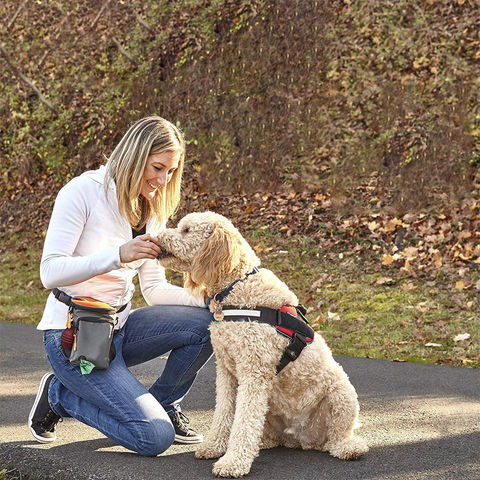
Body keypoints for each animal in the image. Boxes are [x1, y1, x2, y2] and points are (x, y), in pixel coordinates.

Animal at [157, 213, 368, 476]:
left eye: (186, 230)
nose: (157, 236)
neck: (237, 285)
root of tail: (302, 437)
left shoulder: (254, 373)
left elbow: (244, 422)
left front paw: (233, 462)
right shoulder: (227, 372)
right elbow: (224, 413)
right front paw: (214, 446)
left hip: (342, 395)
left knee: (338, 436)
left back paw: (349, 448)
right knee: (271, 434)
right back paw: (264, 443)